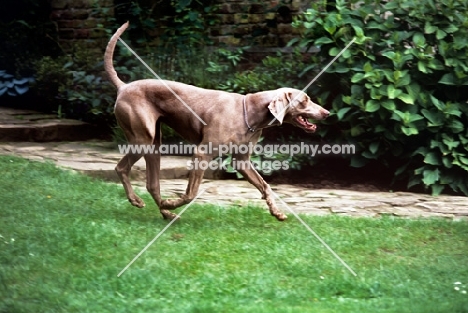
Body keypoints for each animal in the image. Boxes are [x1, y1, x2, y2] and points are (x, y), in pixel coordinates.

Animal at [105, 22, 330, 221]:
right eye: (305, 100)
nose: (327, 112)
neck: (249, 112)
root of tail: (123, 86)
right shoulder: (202, 153)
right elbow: (191, 193)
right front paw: (172, 202)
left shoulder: (242, 161)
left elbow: (265, 185)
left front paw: (276, 212)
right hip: (142, 139)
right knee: (121, 168)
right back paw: (141, 201)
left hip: (154, 144)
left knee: (152, 184)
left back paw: (166, 213)